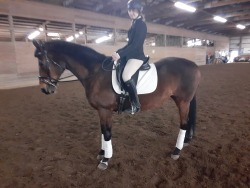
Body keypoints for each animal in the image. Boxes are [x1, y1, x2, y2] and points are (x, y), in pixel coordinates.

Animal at [32, 39, 201, 170]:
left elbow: (107, 133)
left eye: (41, 62)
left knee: (184, 124)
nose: (44, 89)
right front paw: (102, 153)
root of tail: (194, 65)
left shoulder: (105, 110)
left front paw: (105, 160)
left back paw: (176, 152)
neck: (95, 73)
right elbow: (102, 131)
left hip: (183, 101)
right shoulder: (101, 110)